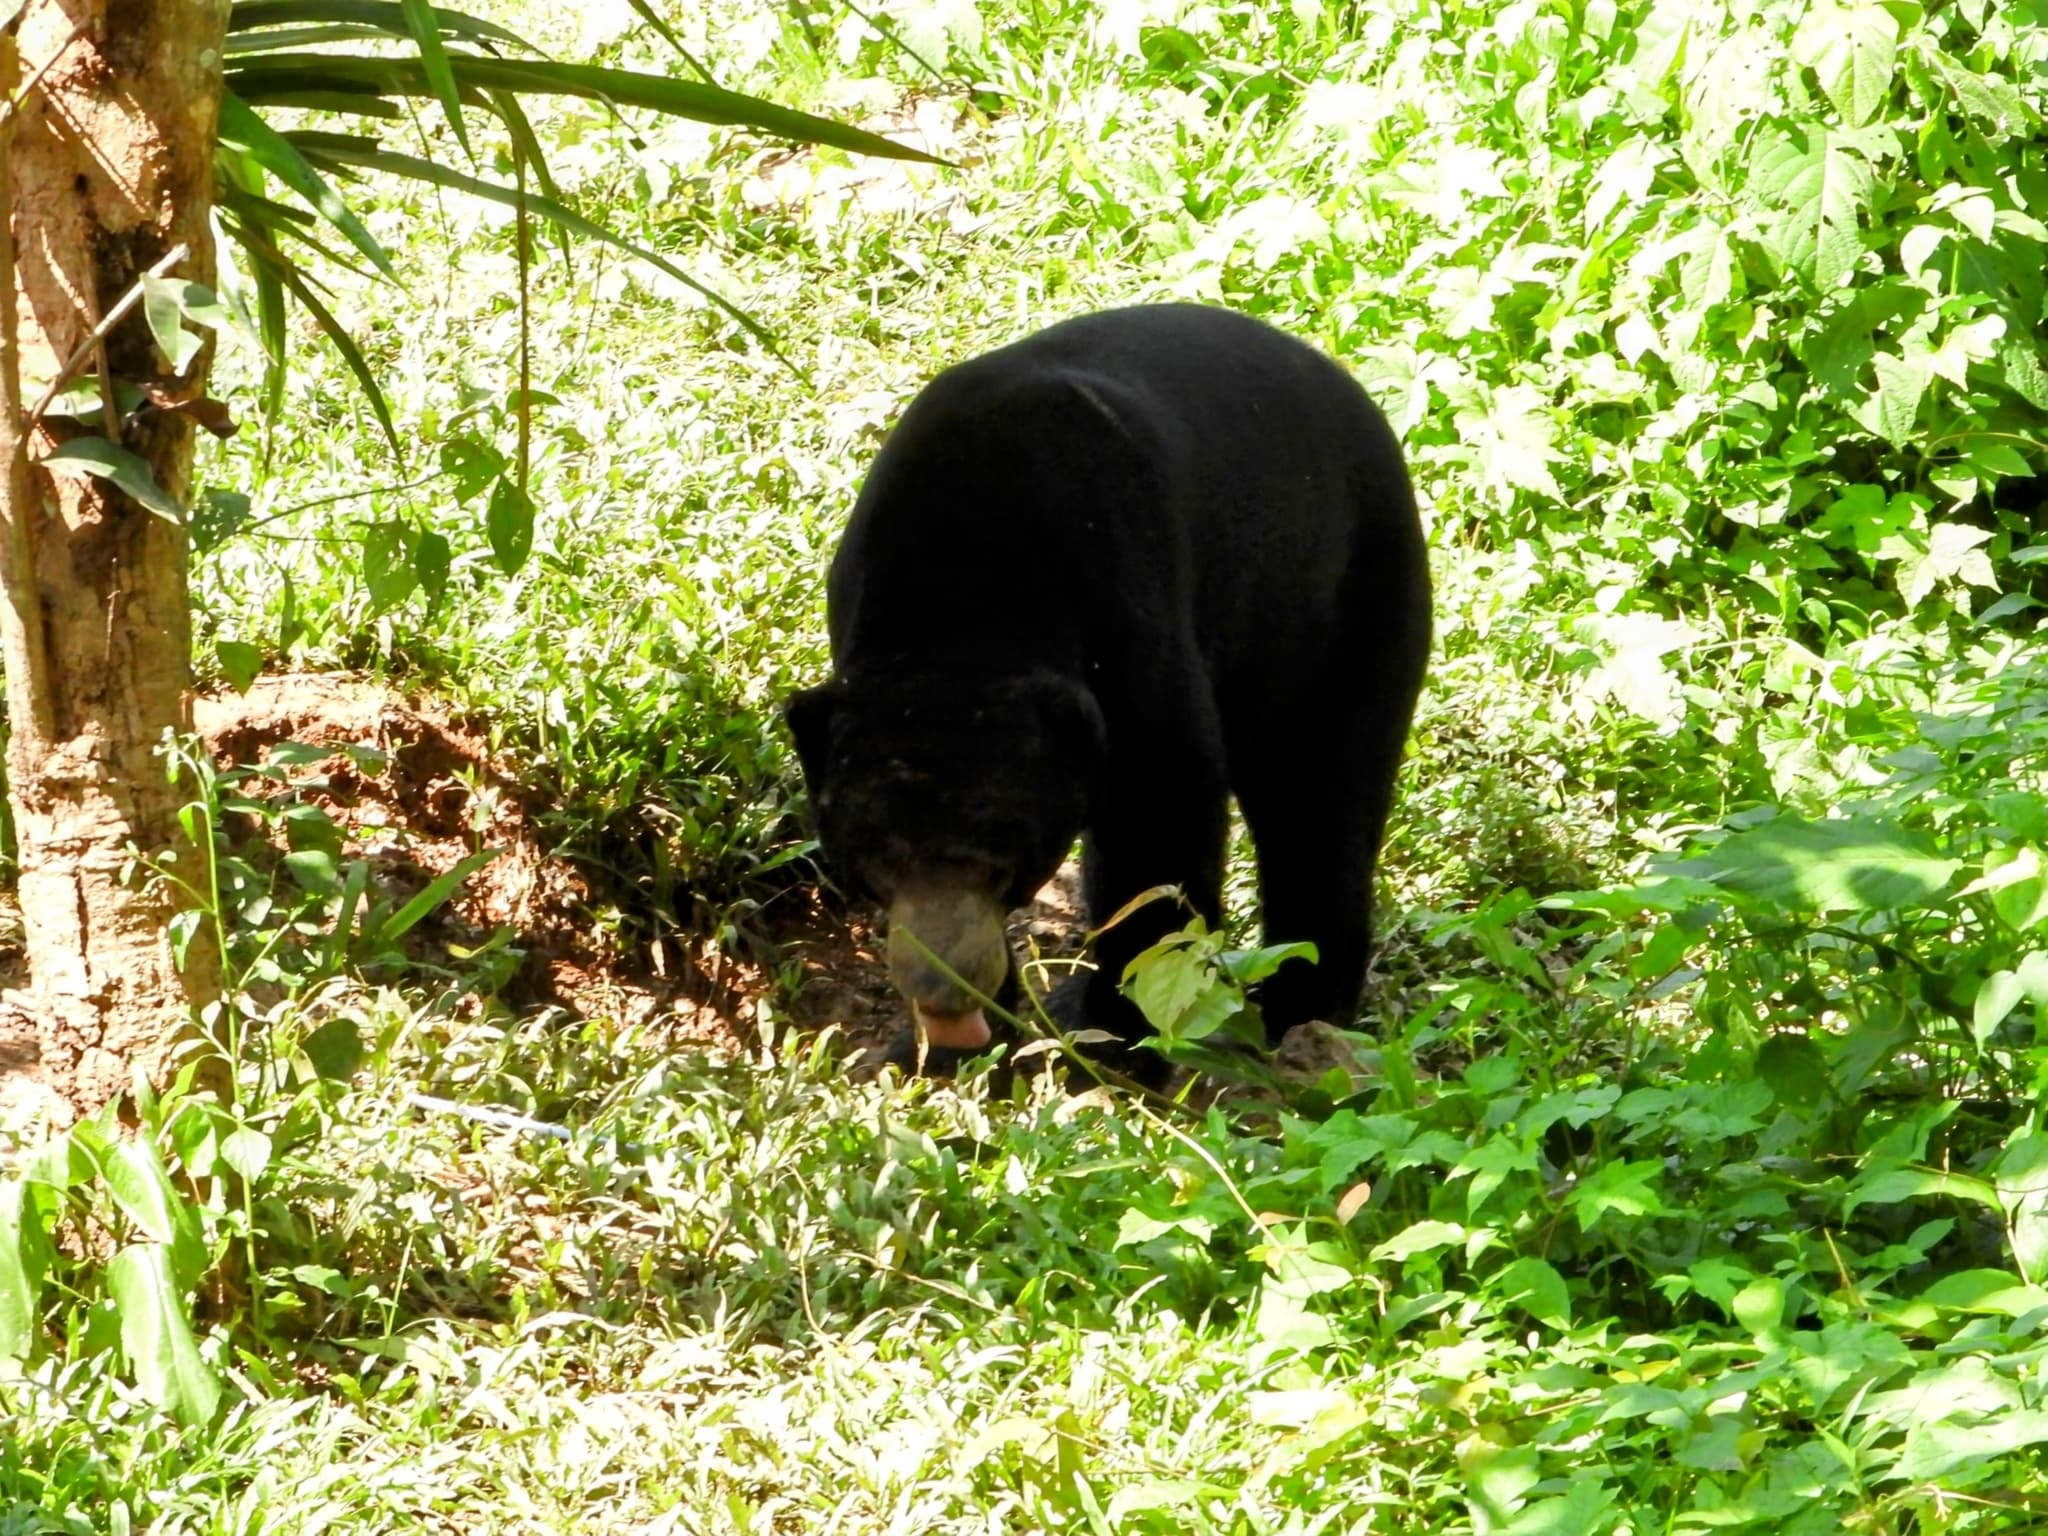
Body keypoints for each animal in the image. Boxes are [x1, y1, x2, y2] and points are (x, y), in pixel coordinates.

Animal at [786, 303, 1431, 1084]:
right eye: (873, 863)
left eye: (999, 859)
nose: (944, 991)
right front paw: (940, 1049)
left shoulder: (1127, 595)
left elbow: (1160, 810)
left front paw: (1118, 1038)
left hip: (1348, 605)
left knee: (1321, 804)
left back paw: (1302, 1014)